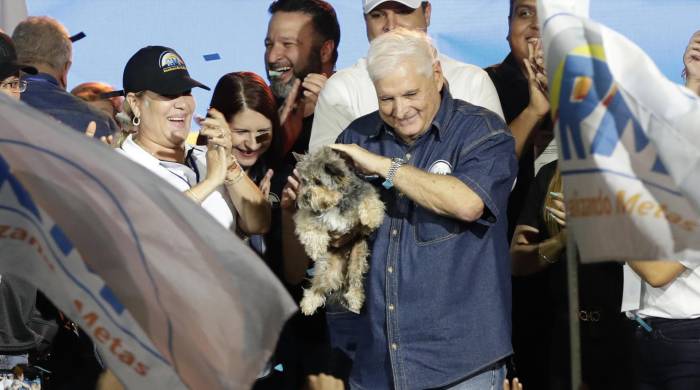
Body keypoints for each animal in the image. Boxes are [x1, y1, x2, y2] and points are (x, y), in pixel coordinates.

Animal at [292, 148, 386, 316]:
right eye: (303, 181)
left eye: (318, 181)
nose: (304, 196)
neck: (333, 203)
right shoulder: (306, 214)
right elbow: (309, 227)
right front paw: (315, 248)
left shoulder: (363, 194)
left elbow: (370, 199)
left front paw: (372, 217)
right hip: (329, 269)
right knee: (319, 285)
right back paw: (310, 302)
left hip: (357, 258)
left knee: (355, 280)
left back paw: (355, 299)